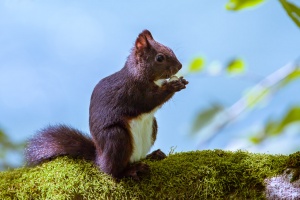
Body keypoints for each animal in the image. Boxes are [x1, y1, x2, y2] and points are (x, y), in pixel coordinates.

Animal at [26, 30, 190, 181]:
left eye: (170, 48)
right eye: (159, 58)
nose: (179, 66)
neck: (139, 73)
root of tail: (100, 158)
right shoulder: (134, 93)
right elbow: (151, 100)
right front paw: (173, 86)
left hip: (152, 127)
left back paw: (152, 155)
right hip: (116, 137)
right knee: (111, 171)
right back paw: (131, 170)